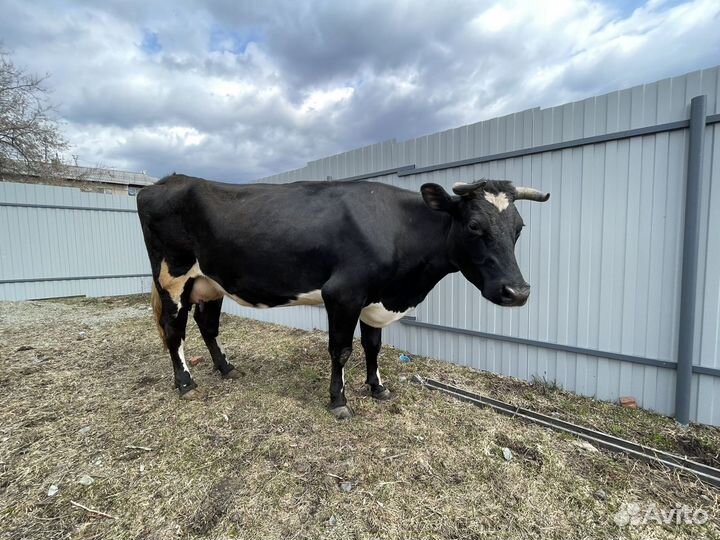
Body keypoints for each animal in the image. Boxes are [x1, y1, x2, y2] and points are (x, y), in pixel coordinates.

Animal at [137, 174, 549, 419]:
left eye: (519, 227)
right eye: (474, 225)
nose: (518, 291)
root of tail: (164, 182)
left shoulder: (374, 300)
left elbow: (373, 346)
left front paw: (378, 387)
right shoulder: (343, 294)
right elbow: (341, 350)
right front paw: (339, 400)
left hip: (209, 283)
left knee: (207, 325)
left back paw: (225, 368)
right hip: (172, 277)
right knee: (174, 330)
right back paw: (185, 383)